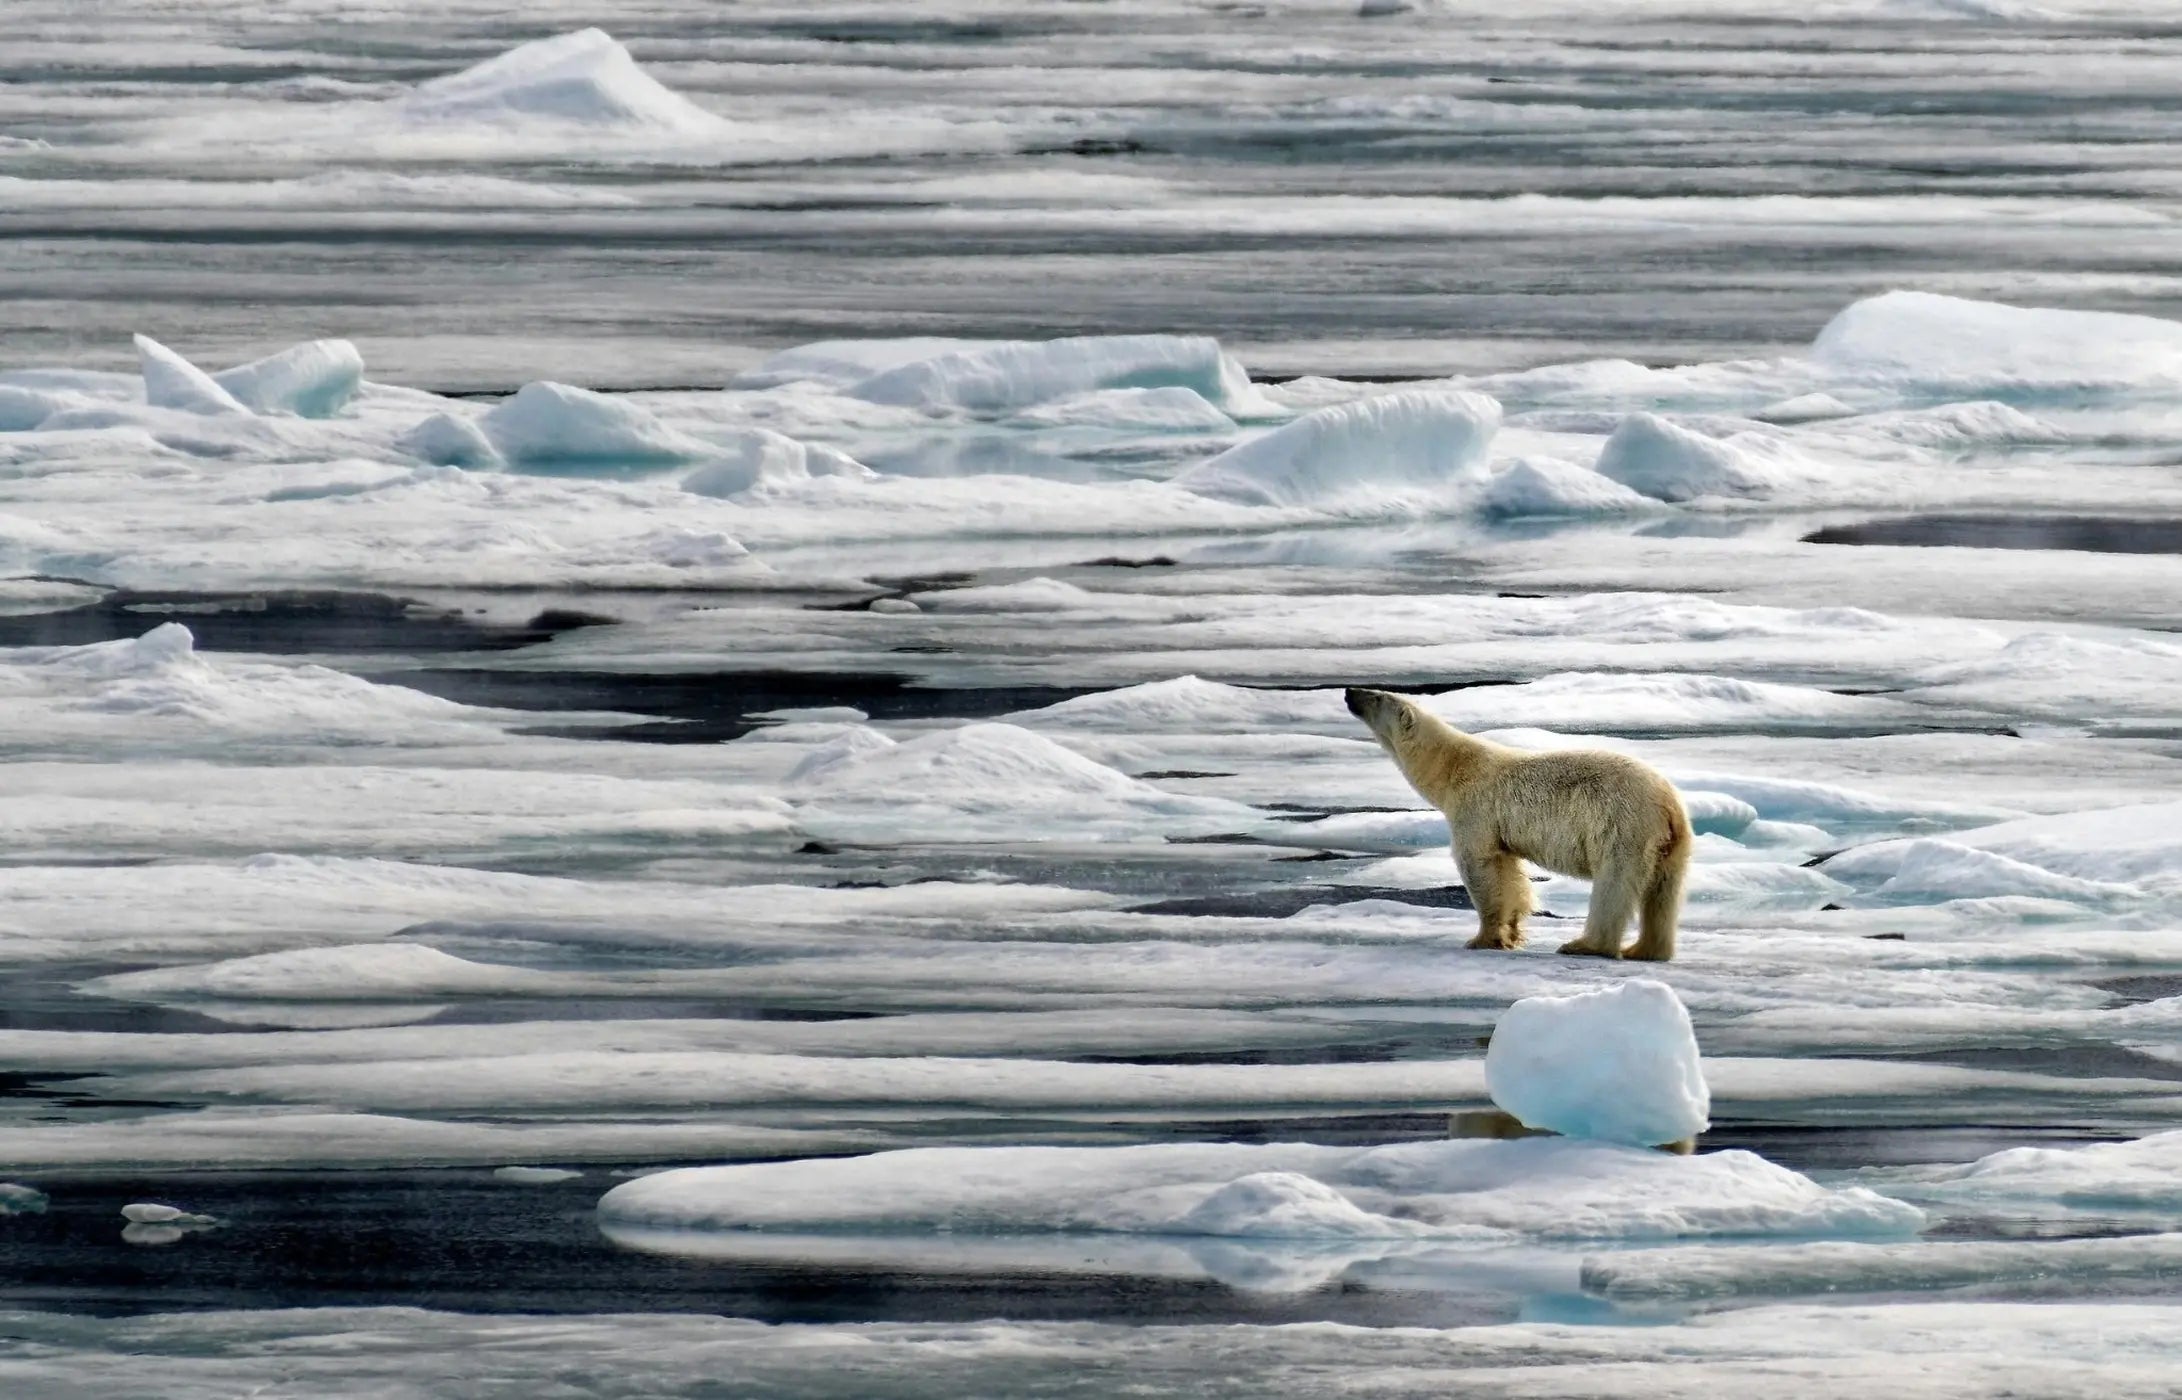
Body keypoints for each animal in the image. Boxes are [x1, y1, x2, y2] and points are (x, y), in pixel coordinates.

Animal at [1345, 687, 1692, 961]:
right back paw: (1646, 950)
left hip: (1621, 825)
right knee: (1663, 892)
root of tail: (1668, 804)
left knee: (1614, 884)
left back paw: (1585, 945)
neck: (1454, 768)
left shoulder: (1476, 810)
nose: (1349, 691)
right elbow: (1510, 874)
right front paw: (1511, 932)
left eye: (1376, 696)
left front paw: (1483, 939)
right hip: (1671, 844)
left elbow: (1481, 868)